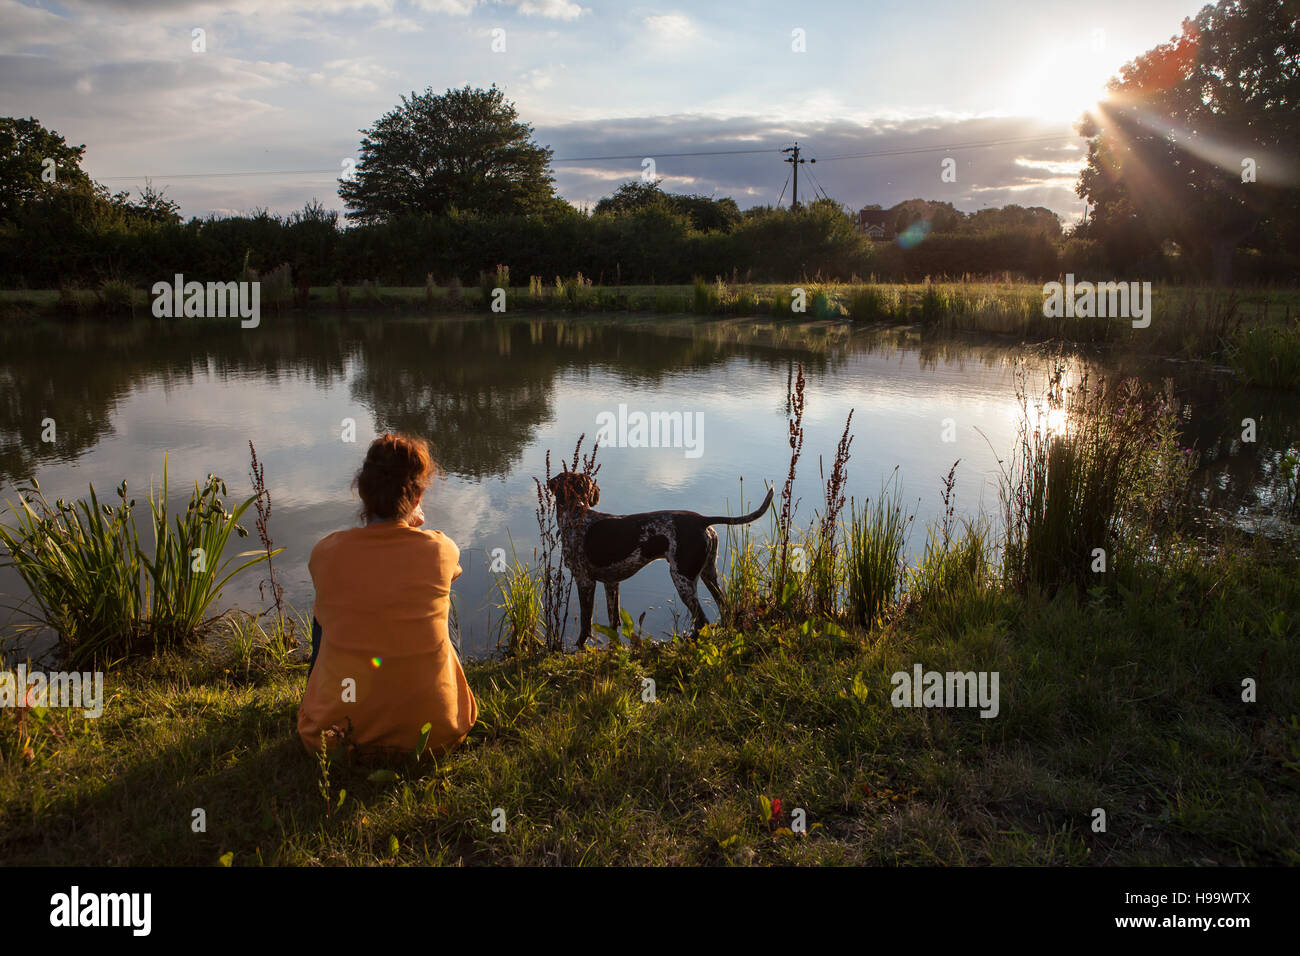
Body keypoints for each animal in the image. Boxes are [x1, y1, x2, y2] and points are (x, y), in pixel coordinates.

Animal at [546, 473, 769, 647]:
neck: (576, 514)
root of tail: (702, 519)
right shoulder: (612, 583)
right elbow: (614, 620)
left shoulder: (585, 581)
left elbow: (585, 622)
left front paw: (579, 646)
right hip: (708, 574)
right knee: (724, 608)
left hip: (682, 579)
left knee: (702, 620)